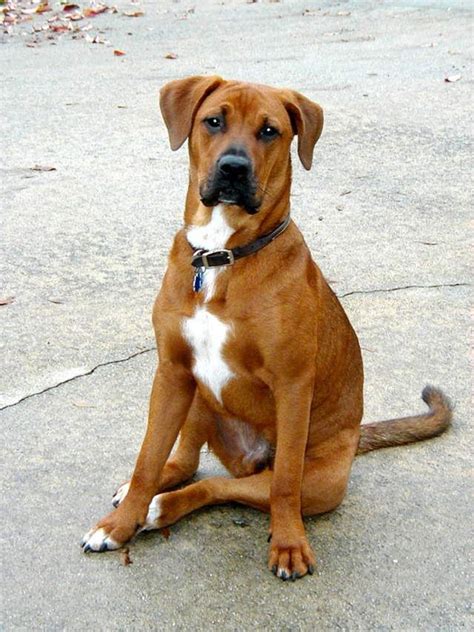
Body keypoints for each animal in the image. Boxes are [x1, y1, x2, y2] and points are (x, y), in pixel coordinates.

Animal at [81, 76, 452, 580]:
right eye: (213, 120)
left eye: (270, 131)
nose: (233, 168)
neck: (221, 255)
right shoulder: (171, 370)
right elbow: (147, 458)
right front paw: (119, 525)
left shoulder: (293, 385)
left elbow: (284, 485)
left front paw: (290, 544)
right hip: (194, 393)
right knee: (184, 461)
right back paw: (150, 499)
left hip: (319, 481)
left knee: (232, 486)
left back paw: (161, 509)